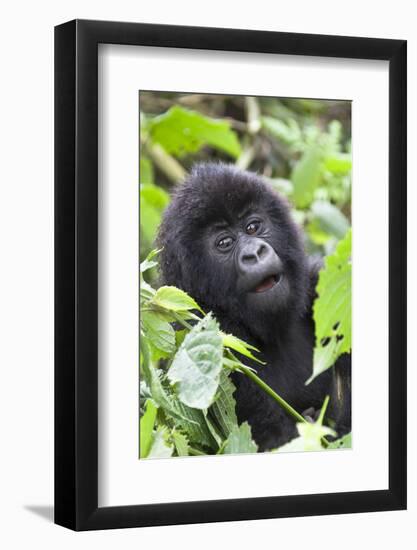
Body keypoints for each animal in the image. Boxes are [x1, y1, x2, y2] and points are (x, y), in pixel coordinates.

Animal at [158, 162, 350, 450]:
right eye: (225, 243)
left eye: (252, 227)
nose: (255, 253)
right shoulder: (201, 330)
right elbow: (272, 436)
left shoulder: (320, 285)